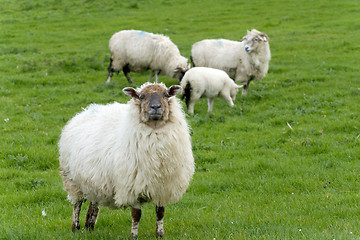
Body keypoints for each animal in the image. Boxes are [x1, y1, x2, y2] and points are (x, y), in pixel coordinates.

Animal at [59, 82, 195, 238]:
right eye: (141, 97)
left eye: (166, 95)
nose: (155, 107)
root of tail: (83, 112)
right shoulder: (132, 186)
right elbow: (136, 214)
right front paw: (133, 235)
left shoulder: (162, 187)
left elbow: (160, 213)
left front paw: (160, 234)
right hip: (72, 180)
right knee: (77, 204)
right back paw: (75, 227)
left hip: (94, 181)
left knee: (93, 203)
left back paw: (90, 226)